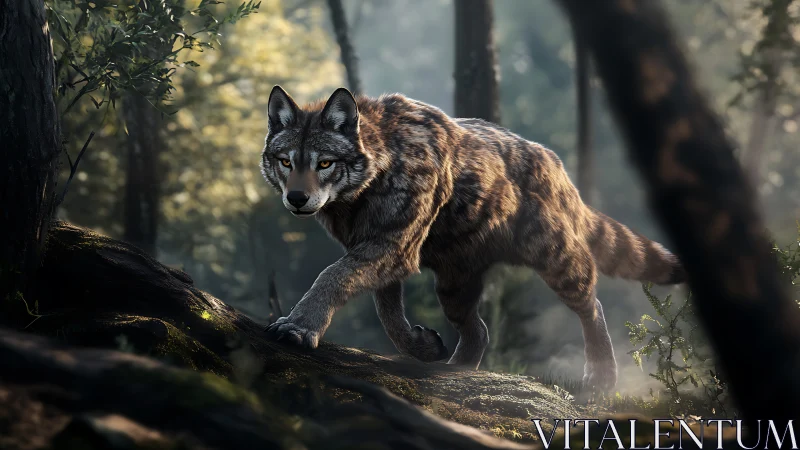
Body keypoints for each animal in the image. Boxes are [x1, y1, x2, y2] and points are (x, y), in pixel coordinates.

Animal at [260, 85, 685, 389]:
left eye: (324, 163)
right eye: (285, 161)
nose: (296, 198)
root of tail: (556, 165)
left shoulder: (393, 247)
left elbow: (331, 278)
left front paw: (298, 328)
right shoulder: (379, 250)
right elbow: (388, 315)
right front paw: (422, 346)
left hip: (557, 260)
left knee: (592, 307)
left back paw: (601, 376)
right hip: (453, 289)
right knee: (479, 331)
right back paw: (454, 369)